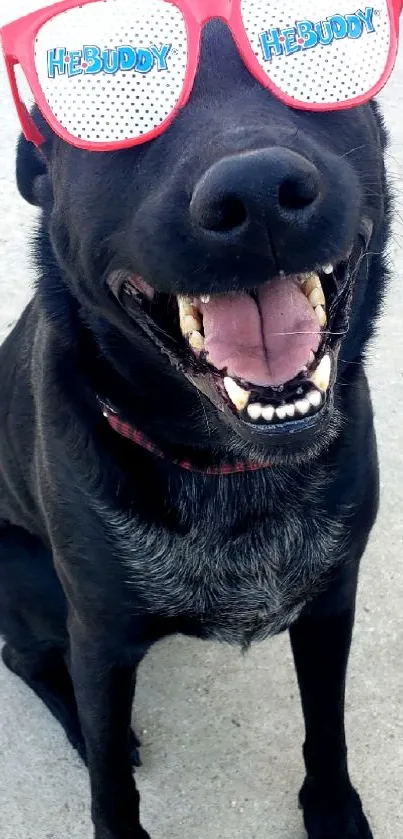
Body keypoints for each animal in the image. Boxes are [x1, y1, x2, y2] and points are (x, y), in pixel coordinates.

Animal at [0, 19, 392, 839]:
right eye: (112, 112)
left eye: (311, 66)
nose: (260, 193)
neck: (230, 470)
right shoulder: (98, 633)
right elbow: (111, 786)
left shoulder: (330, 597)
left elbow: (328, 724)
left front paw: (333, 809)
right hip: (29, 578)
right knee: (28, 660)